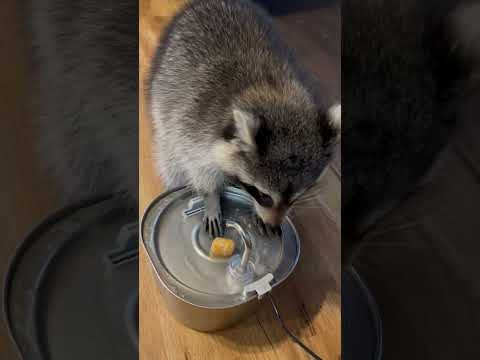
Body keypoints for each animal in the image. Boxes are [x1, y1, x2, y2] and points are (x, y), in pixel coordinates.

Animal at [148, 0, 340, 236]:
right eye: (264, 196)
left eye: (296, 198)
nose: (273, 224)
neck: (271, 92)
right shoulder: (193, 124)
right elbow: (198, 167)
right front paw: (211, 197)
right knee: (170, 160)